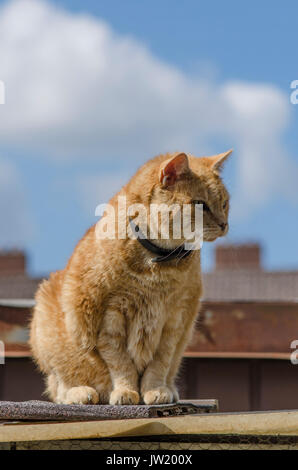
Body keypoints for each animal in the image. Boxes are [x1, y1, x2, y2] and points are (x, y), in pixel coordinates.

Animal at [29, 151, 230, 404]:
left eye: (224, 203)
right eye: (200, 204)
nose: (224, 224)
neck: (159, 264)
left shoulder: (176, 318)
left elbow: (161, 362)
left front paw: (156, 390)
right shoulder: (109, 316)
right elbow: (120, 363)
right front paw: (126, 391)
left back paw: (170, 389)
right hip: (47, 327)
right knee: (59, 386)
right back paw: (81, 393)